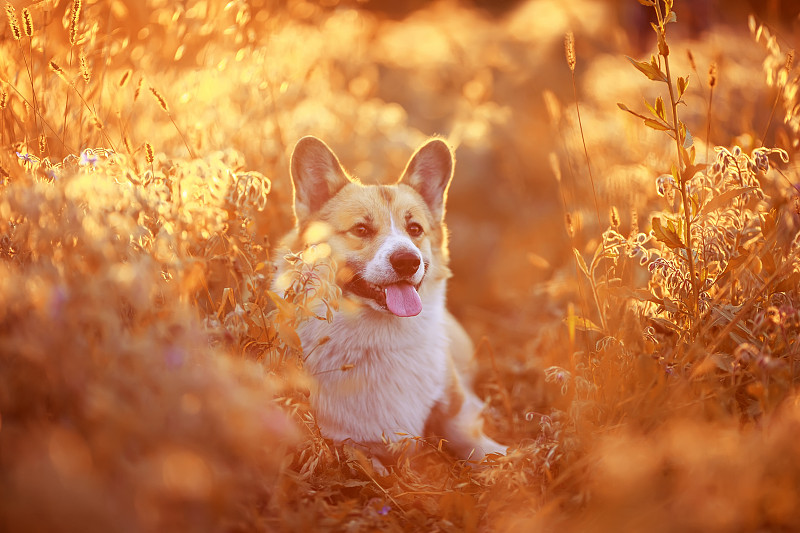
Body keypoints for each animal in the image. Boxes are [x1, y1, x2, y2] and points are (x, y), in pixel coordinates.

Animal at [276, 135, 506, 468]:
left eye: (415, 229)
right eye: (361, 229)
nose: (408, 261)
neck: (380, 336)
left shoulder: (453, 405)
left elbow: (471, 436)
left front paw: (504, 457)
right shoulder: (345, 445)